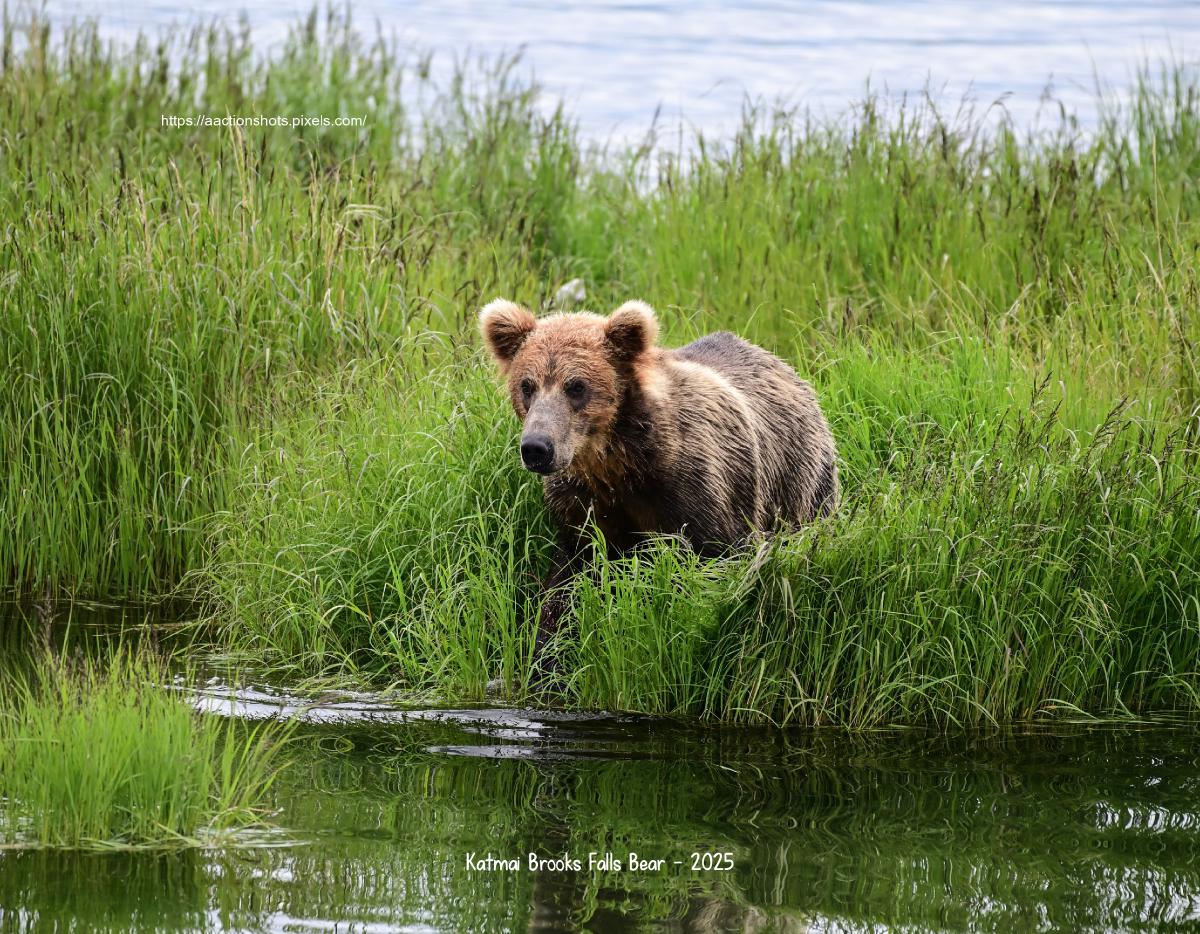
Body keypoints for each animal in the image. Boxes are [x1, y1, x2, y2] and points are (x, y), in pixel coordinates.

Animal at [479, 297, 838, 672]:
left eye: (576, 386)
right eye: (527, 385)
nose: (537, 447)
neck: (620, 466)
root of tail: (781, 364)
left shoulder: (699, 494)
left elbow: (718, 570)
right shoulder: (582, 507)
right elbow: (567, 589)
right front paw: (546, 658)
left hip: (799, 479)